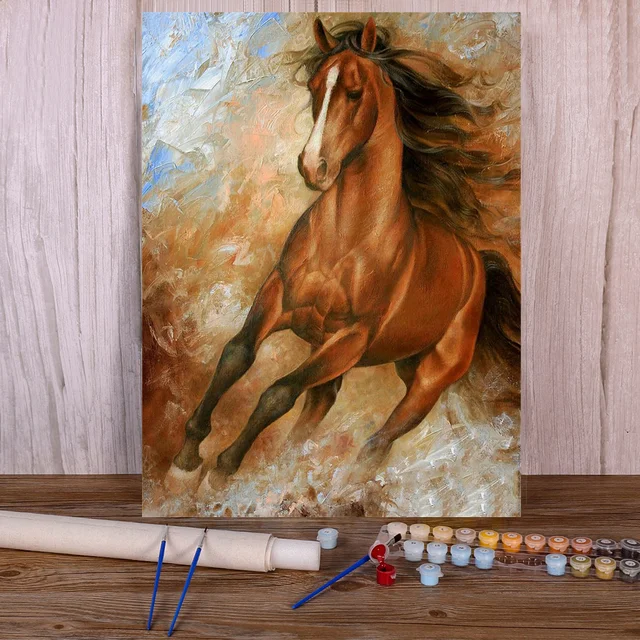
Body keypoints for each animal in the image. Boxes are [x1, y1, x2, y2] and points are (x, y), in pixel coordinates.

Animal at [169, 17, 521, 491]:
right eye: (314, 88)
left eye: (354, 92)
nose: (313, 166)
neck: (347, 241)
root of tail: (477, 261)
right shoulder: (279, 296)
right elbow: (236, 356)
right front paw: (187, 457)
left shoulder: (351, 338)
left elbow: (277, 393)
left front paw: (223, 469)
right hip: (371, 362)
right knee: (317, 414)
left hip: (427, 381)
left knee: (377, 443)